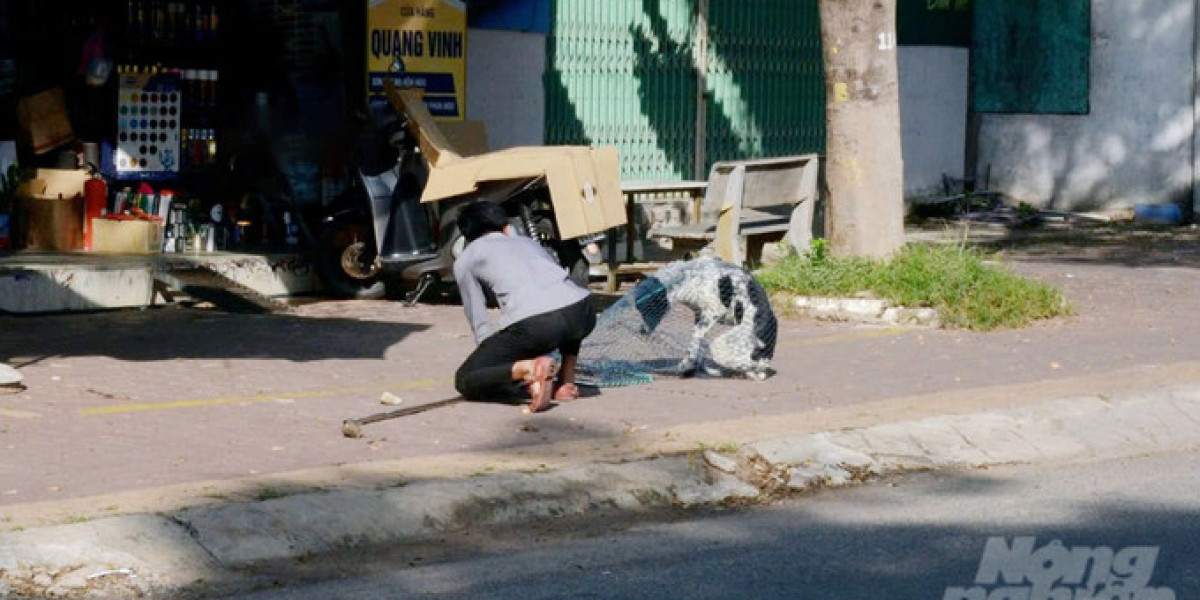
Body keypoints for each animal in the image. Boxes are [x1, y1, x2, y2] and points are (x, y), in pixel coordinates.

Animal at [578, 256, 777, 386]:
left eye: (647, 309)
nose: (642, 331)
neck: (687, 276)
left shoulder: (712, 312)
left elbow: (695, 340)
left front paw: (688, 366)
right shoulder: (699, 315)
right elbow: (694, 346)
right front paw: (687, 366)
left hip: (723, 346)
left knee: (756, 368)